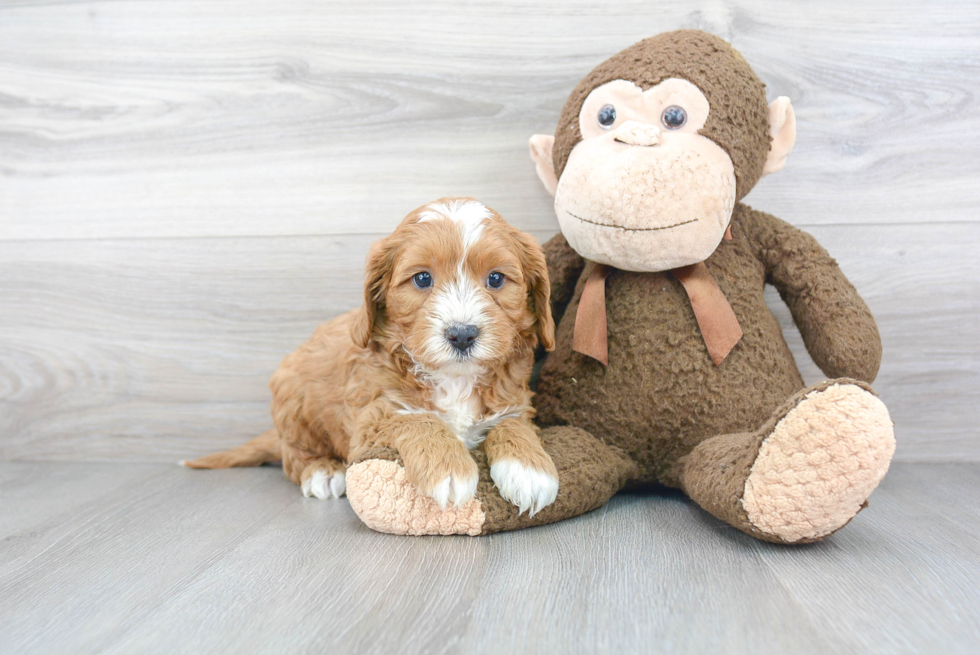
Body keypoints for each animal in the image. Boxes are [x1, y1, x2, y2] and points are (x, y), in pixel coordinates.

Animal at [186, 197, 560, 516]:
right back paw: (322, 471)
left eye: (496, 278)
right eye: (422, 278)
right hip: (292, 400)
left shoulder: (515, 402)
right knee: (294, 459)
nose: (462, 334)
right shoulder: (372, 415)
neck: (455, 377)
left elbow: (513, 424)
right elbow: (417, 418)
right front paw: (448, 468)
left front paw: (530, 470)